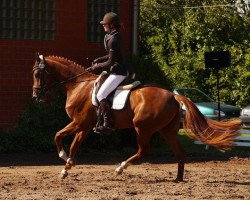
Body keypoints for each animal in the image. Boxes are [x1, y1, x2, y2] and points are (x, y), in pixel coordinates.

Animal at [32, 54, 241, 181]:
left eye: (37, 74)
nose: (36, 96)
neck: (78, 85)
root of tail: (173, 95)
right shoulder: (84, 126)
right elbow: (74, 145)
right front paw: (66, 167)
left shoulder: (79, 123)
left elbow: (58, 135)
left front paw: (63, 158)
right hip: (167, 131)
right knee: (180, 153)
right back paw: (178, 179)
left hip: (142, 127)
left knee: (144, 151)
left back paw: (120, 168)